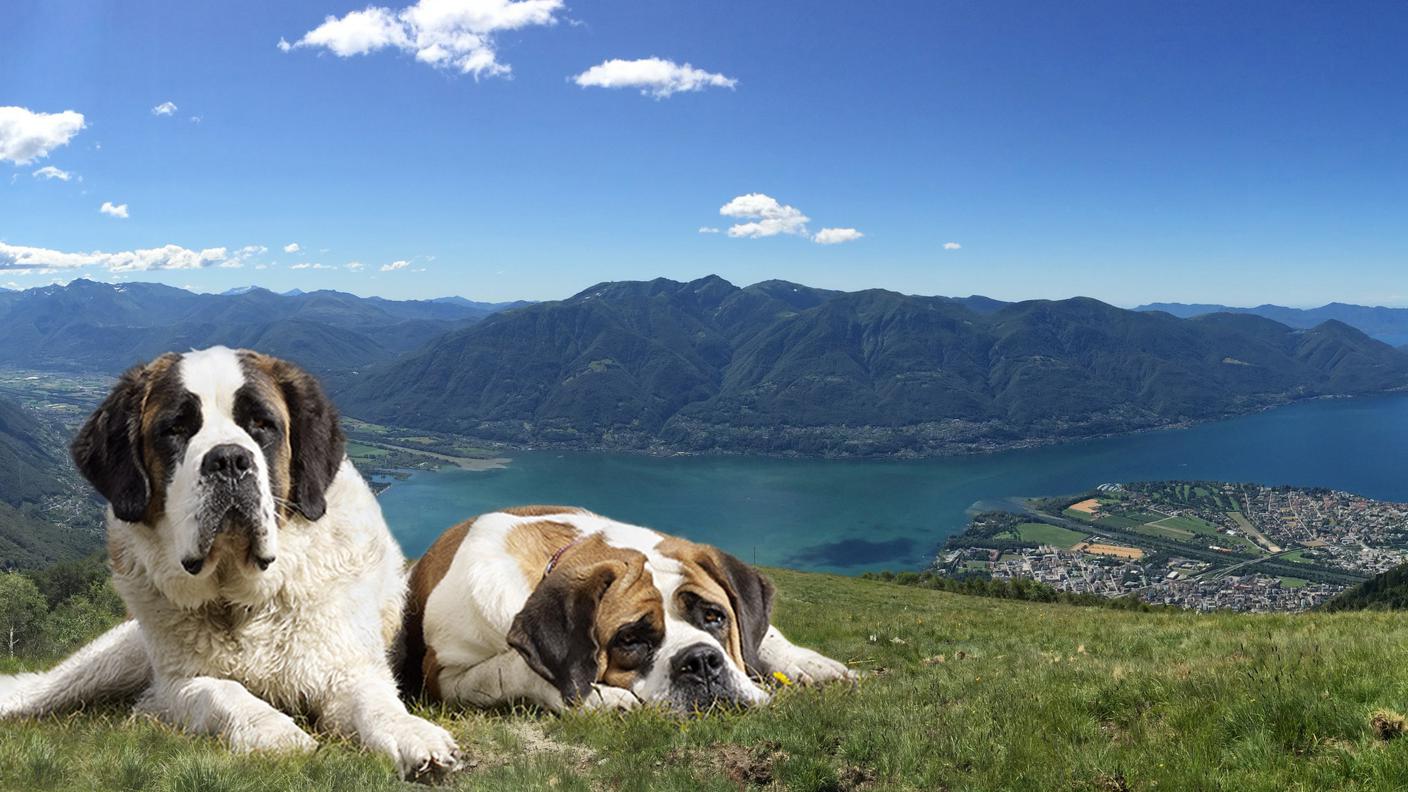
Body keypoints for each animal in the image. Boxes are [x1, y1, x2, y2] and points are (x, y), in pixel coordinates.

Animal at [0, 345, 456, 777]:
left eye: (262, 425)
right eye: (175, 429)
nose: (229, 460)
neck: (239, 599)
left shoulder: (344, 665)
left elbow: (372, 700)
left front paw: (414, 735)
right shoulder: (174, 686)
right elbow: (222, 691)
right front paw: (274, 732)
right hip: (117, 658)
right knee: (51, 685)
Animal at [399, 504, 856, 710]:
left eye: (714, 617)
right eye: (630, 639)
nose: (701, 661)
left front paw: (805, 663)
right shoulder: (446, 675)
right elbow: (511, 668)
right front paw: (599, 696)